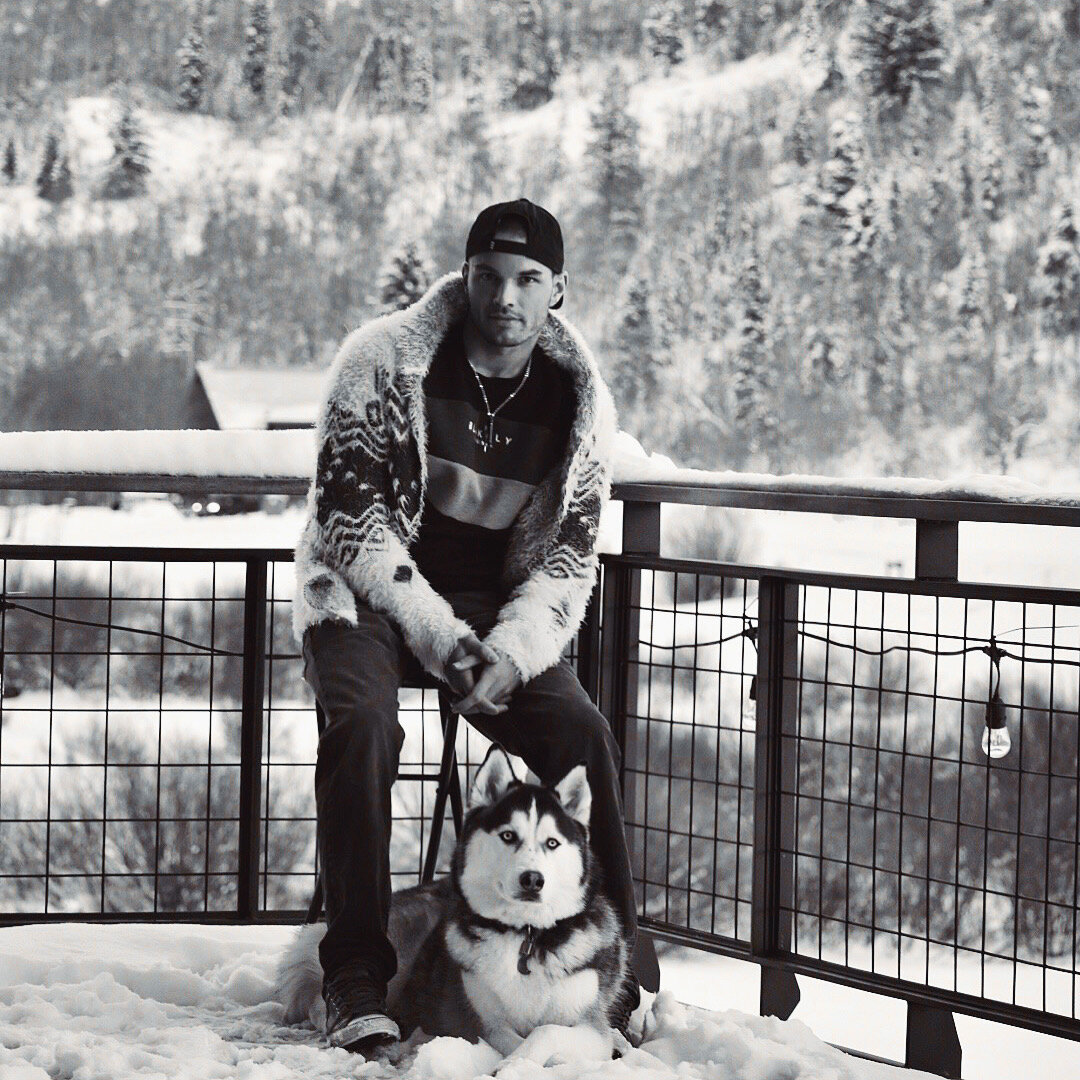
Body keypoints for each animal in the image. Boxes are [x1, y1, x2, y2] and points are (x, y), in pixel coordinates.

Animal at [276, 746, 630, 1058]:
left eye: (552, 843)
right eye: (508, 836)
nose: (532, 879)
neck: (526, 936)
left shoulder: (589, 1025)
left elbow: (548, 1031)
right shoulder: (485, 1021)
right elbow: (515, 1038)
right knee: (320, 994)